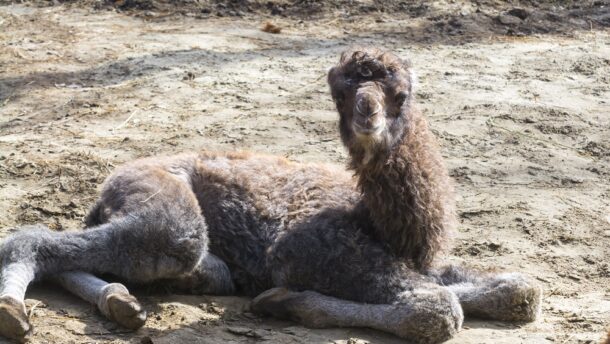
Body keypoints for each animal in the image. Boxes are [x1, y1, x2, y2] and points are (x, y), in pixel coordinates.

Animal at [1, 47, 540, 342]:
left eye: (400, 95)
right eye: (340, 96)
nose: (367, 117)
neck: (382, 221)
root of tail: (110, 184)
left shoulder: (423, 262)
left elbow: (521, 291)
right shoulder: (308, 251)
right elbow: (438, 311)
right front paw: (284, 303)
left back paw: (123, 303)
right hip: (170, 216)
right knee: (34, 237)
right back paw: (16, 313)